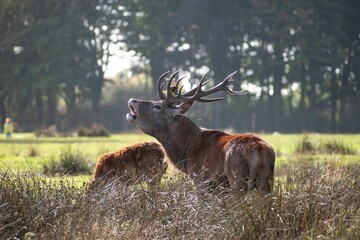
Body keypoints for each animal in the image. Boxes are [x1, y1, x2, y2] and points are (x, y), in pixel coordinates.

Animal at [126, 70, 276, 193]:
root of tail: (259, 150)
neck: (187, 151)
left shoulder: (200, 179)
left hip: (236, 178)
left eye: (157, 106)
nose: (132, 99)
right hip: (267, 182)